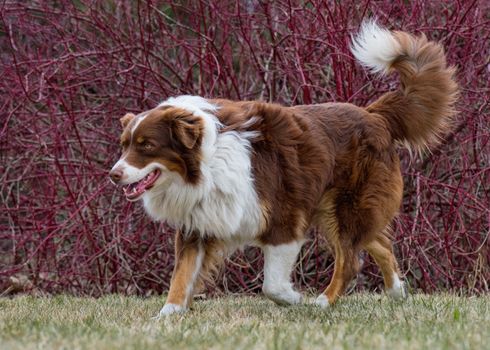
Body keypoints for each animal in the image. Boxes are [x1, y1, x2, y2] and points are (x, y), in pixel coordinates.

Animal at [109, 21, 458, 318]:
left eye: (147, 146)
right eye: (124, 144)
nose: (113, 174)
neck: (206, 161)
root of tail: (375, 116)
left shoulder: (283, 219)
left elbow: (271, 285)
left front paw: (293, 298)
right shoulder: (200, 222)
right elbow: (181, 275)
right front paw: (166, 316)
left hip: (346, 205)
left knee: (350, 260)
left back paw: (323, 302)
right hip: (336, 208)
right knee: (377, 242)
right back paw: (397, 291)